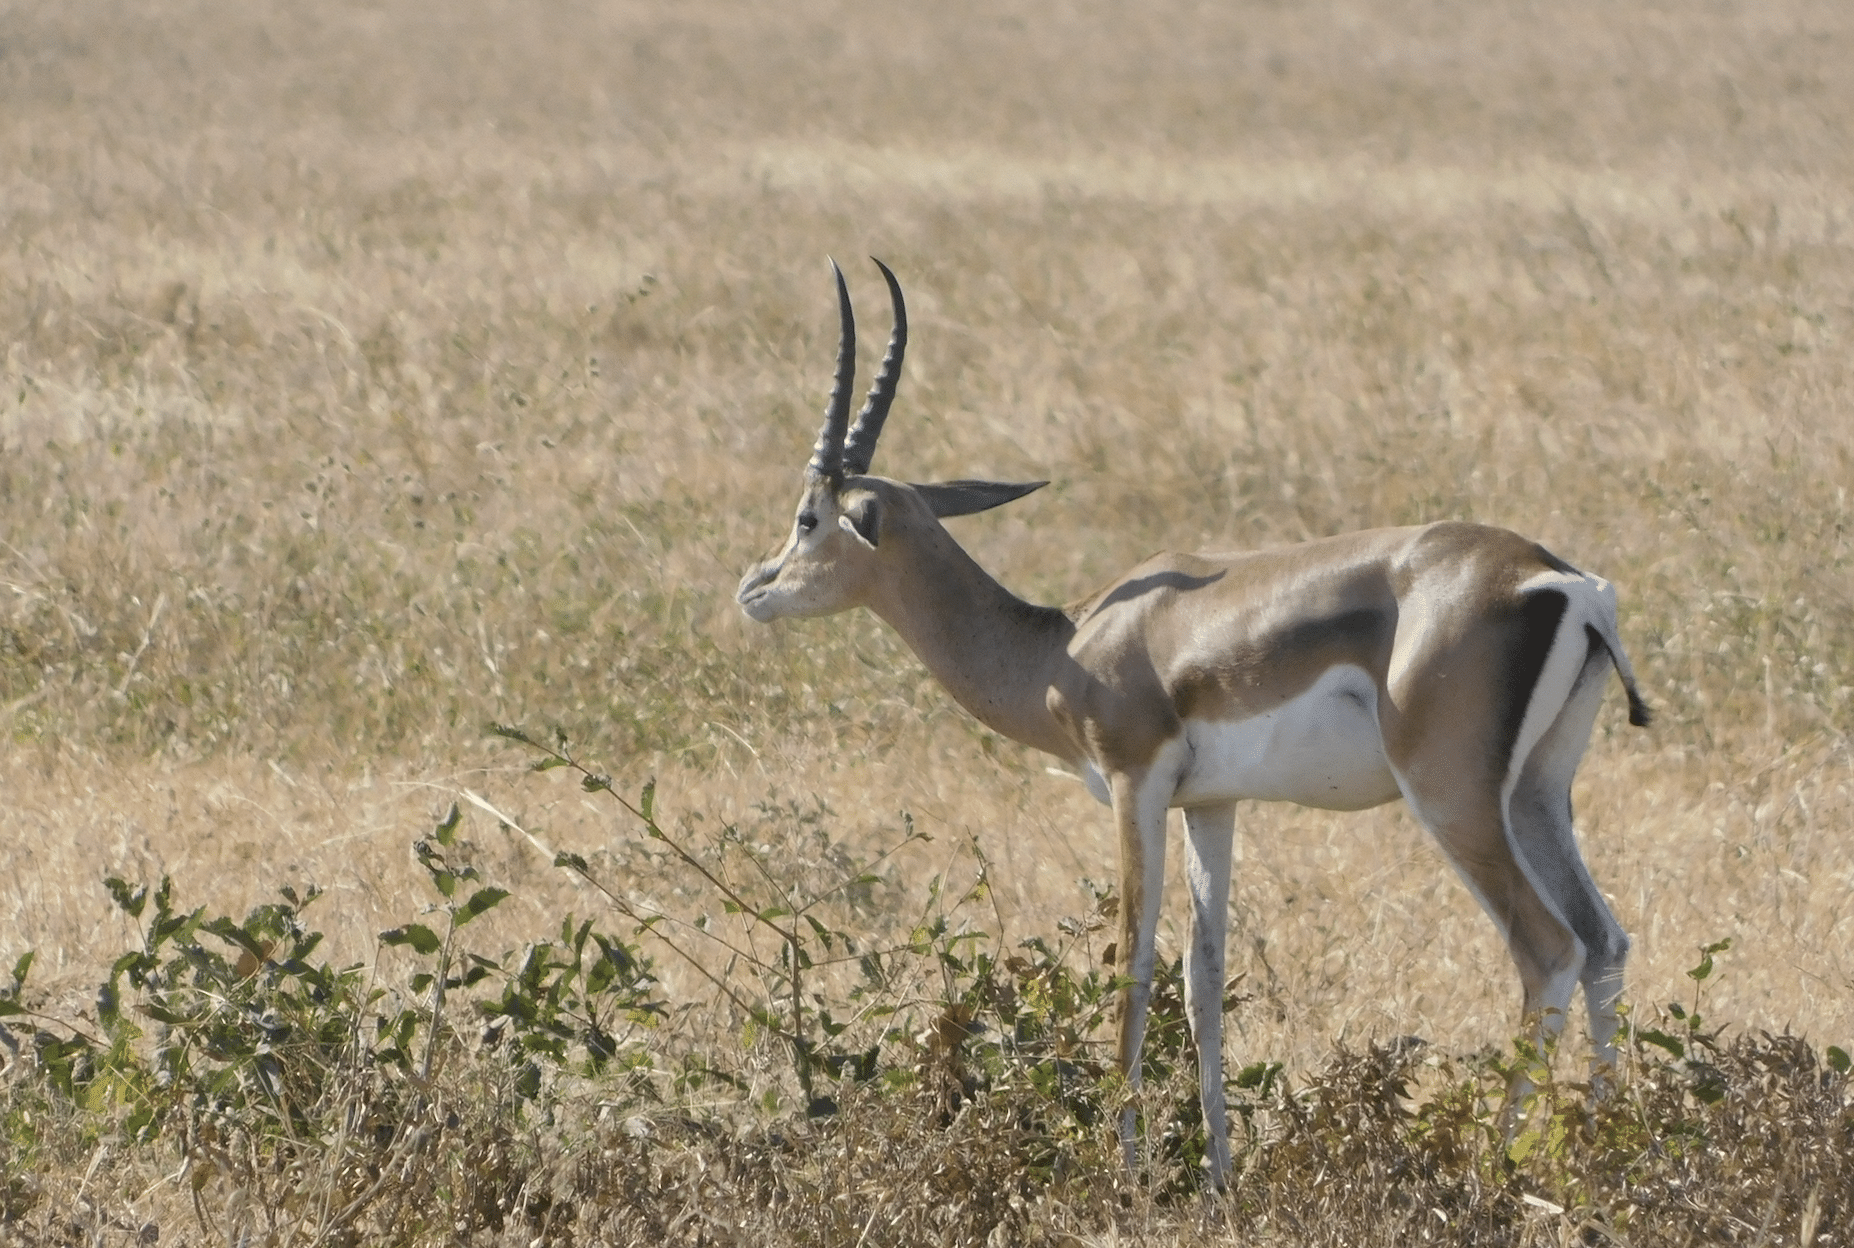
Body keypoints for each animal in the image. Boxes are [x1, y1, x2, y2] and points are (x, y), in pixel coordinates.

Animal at [737, 257, 1653, 1179]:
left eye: (807, 516)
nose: (754, 588)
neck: (1062, 646)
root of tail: (1560, 582)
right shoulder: (1212, 804)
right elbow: (1203, 977)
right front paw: (1218, 1175)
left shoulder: (1133, 782)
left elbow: (1133, 969)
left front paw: (1128, 1174)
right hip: (1535, 794)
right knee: (1605, 941)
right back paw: (1602, 1145)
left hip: (1453, 798)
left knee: (1548, 949)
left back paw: (1494, 1169)